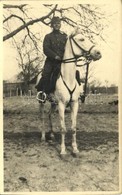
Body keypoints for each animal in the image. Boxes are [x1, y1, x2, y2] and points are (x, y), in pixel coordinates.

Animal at [36, 27, 101, 155]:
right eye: (81, 39)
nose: (98, 53)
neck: (67, 77)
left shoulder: (74, 104)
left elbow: (73, 128)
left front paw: (75, 149)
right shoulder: (61, 104)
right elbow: (63, 129)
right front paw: (62, 150)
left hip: (53, 103)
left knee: (50, 114)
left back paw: (51, 135)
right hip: (42, 101)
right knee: (42, 117)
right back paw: (43, 137)